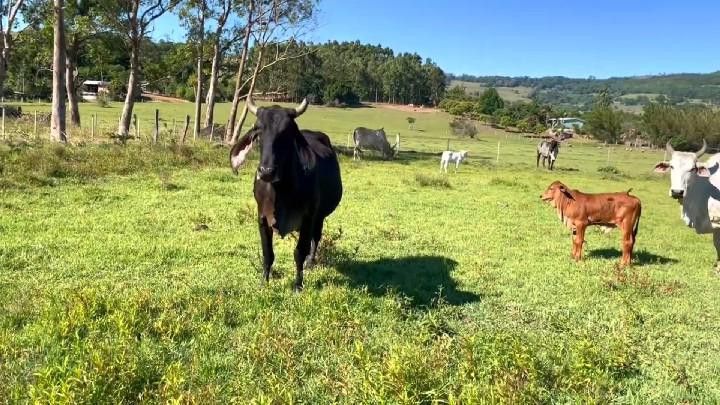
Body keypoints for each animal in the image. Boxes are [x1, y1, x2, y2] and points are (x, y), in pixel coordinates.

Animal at [231, 97, 344, 290]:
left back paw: (310, 262)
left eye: (286, 132)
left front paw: (298, 285)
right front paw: (264, 282)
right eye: (258, 129)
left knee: (316, 238)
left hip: (319, 216)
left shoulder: (308, 217)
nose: (266, 171)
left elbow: (299, 252)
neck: (280, 191)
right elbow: (267, 254)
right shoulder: (262, 217)